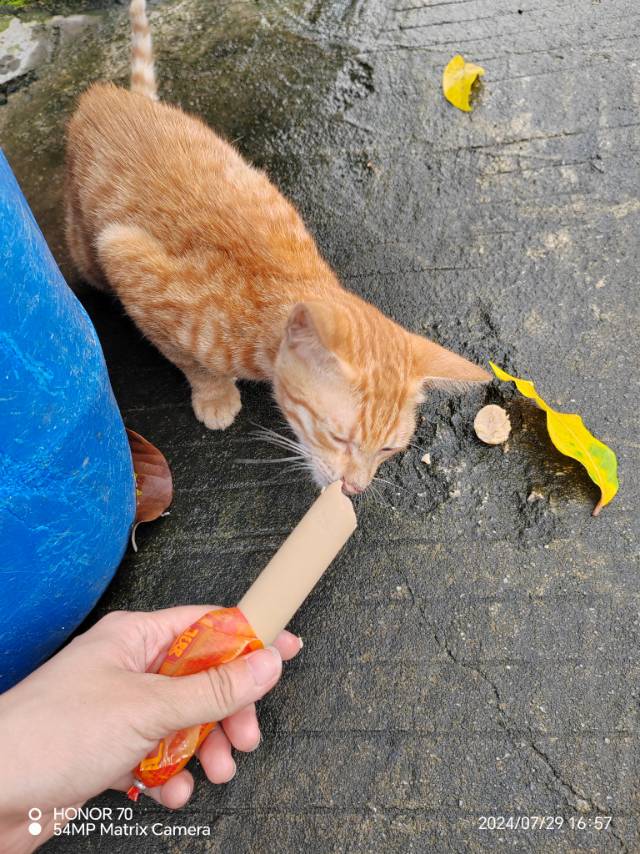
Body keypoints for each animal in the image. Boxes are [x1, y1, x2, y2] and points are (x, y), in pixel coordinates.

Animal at [65, 0, 488, 494]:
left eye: (388, 448)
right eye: (337, 436)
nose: (355, 487)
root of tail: (108, 93)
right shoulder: (126, 258)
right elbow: (189, 358)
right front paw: (214, 393)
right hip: (88, 247)